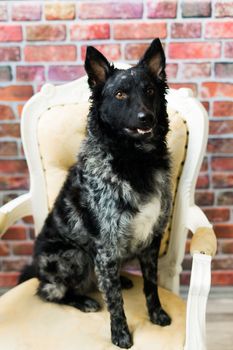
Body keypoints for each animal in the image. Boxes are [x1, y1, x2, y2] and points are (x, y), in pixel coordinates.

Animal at [20, 38, 172, 348]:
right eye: (120, 94)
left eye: (149, 90)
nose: (146, 117)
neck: (135, 160)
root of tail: (36, 270)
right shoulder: (105, 246)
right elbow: (115, 302)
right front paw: (120, 333)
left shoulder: (151, 240)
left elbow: (151, 286)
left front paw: (157, 314)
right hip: (74, 255)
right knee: (51, 291)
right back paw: (83, 300)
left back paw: (122, 280)